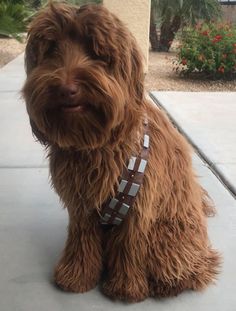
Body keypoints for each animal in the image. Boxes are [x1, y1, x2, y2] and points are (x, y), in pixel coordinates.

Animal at [22, 2, 219, 304]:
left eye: (96, 52)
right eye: (52, 49)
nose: (67, 89)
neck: (96, 143)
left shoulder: (139, 202)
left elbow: (129, 243)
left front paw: (125, 288)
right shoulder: (81, 203)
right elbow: (82, 238)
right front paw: (77, 276)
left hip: (169, 238)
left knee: (191, 269)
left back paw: (167, 285)